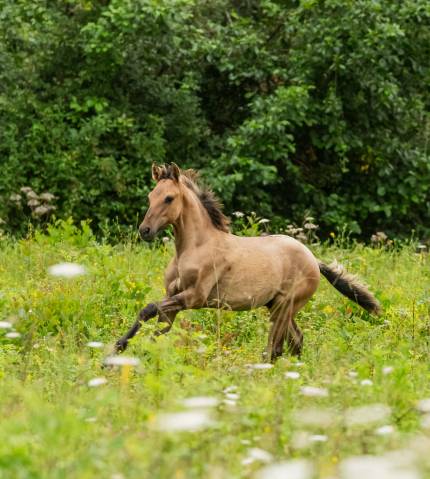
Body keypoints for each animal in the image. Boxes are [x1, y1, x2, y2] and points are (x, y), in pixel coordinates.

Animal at [113, 162, 380, 360]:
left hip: (284, 307)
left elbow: (148, 309)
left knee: (275, 349)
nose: (145, 231)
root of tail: (312, 259)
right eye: (150, 197)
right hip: (278, 306)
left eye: (169, 198)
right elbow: (156, 330)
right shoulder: (173, 297)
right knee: (296, 341)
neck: (193, 248)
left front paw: (117, 350)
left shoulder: (194, 297)